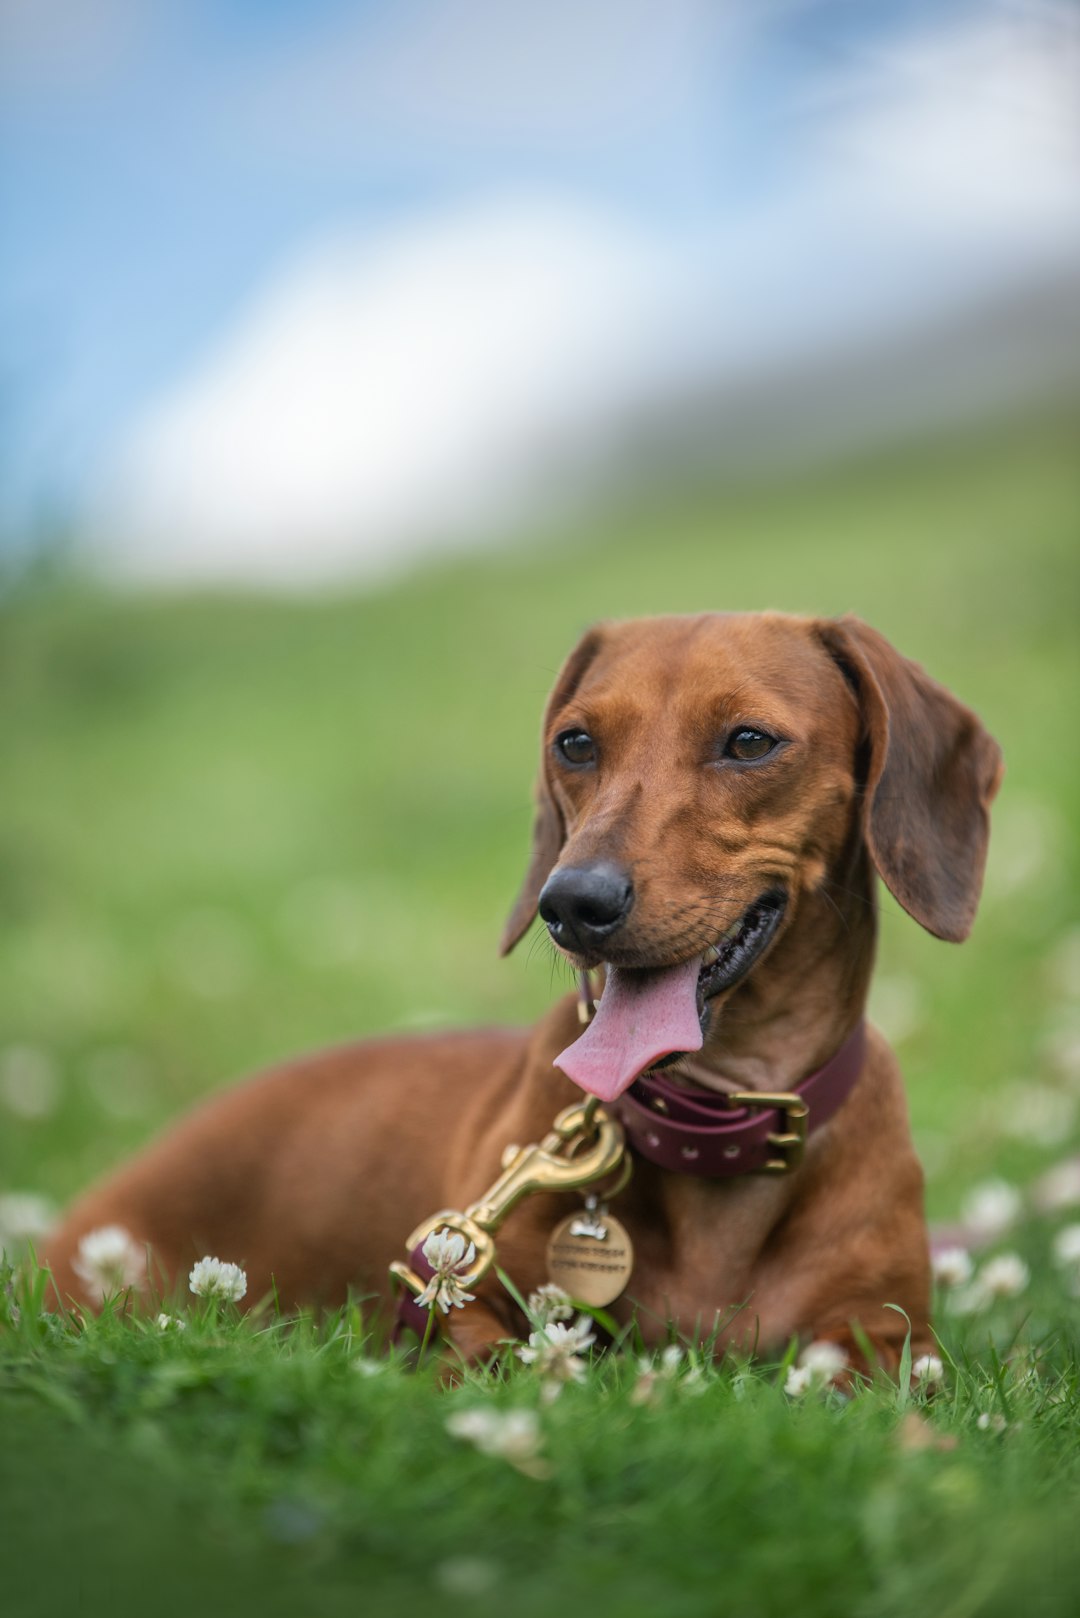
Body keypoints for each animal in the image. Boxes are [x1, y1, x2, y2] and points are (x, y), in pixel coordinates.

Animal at [42, 611, 1003, 1372]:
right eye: (575, 743)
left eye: (749, 742)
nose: (572, 902)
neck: (715, 1128)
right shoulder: (453, 1300)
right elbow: (502, 1358)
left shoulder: (892, 1340)